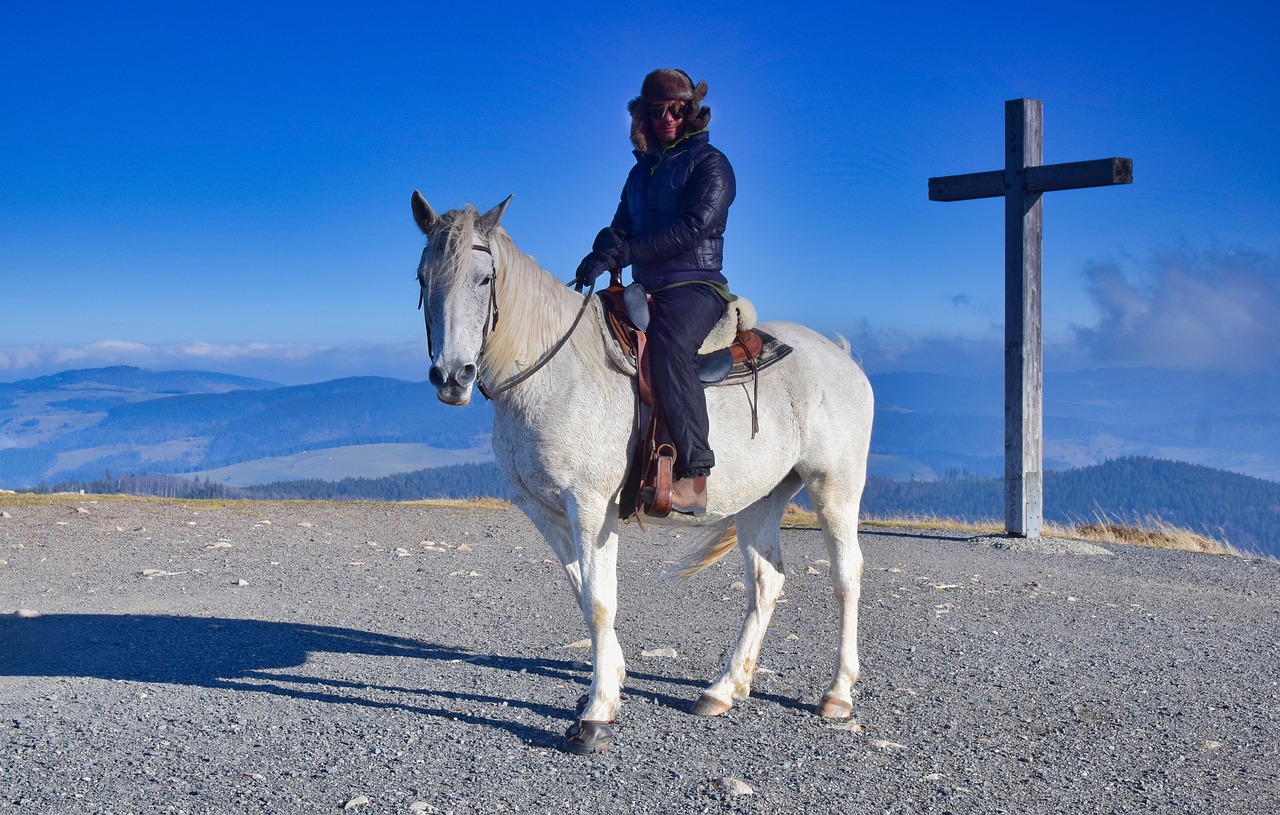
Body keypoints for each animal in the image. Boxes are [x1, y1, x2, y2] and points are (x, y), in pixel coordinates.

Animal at [414, 194, 875, 752]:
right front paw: (611, 682)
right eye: (422, 278)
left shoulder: (591, 507)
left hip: (835, 486)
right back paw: (724, 689)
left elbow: (599, 602)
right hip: (761, 498)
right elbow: (581, 593)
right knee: (766, 581)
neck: (553, 372)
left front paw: (596, 712)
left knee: (846, 575)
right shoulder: (545, 511)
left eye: (483, 278)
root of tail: (842, 358)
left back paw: (838, 694)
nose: (451, 377)